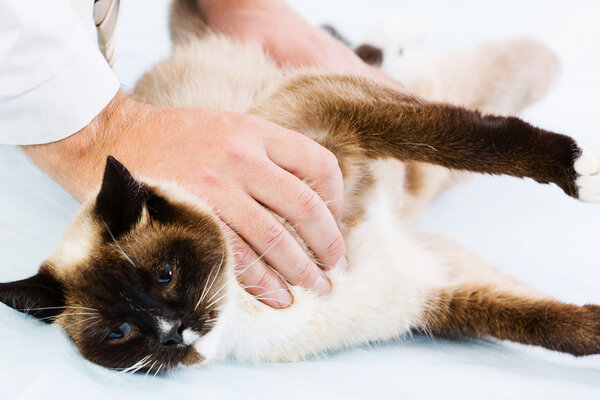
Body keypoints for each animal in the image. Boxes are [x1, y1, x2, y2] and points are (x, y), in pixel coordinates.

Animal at [1, 0, 600, 376]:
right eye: (121, 332)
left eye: (165, 275)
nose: (174, 333)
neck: (249, 311)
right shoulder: (439, 292)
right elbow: (562, 328)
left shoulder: (332, 114)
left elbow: (476, 139)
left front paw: (576, 170)